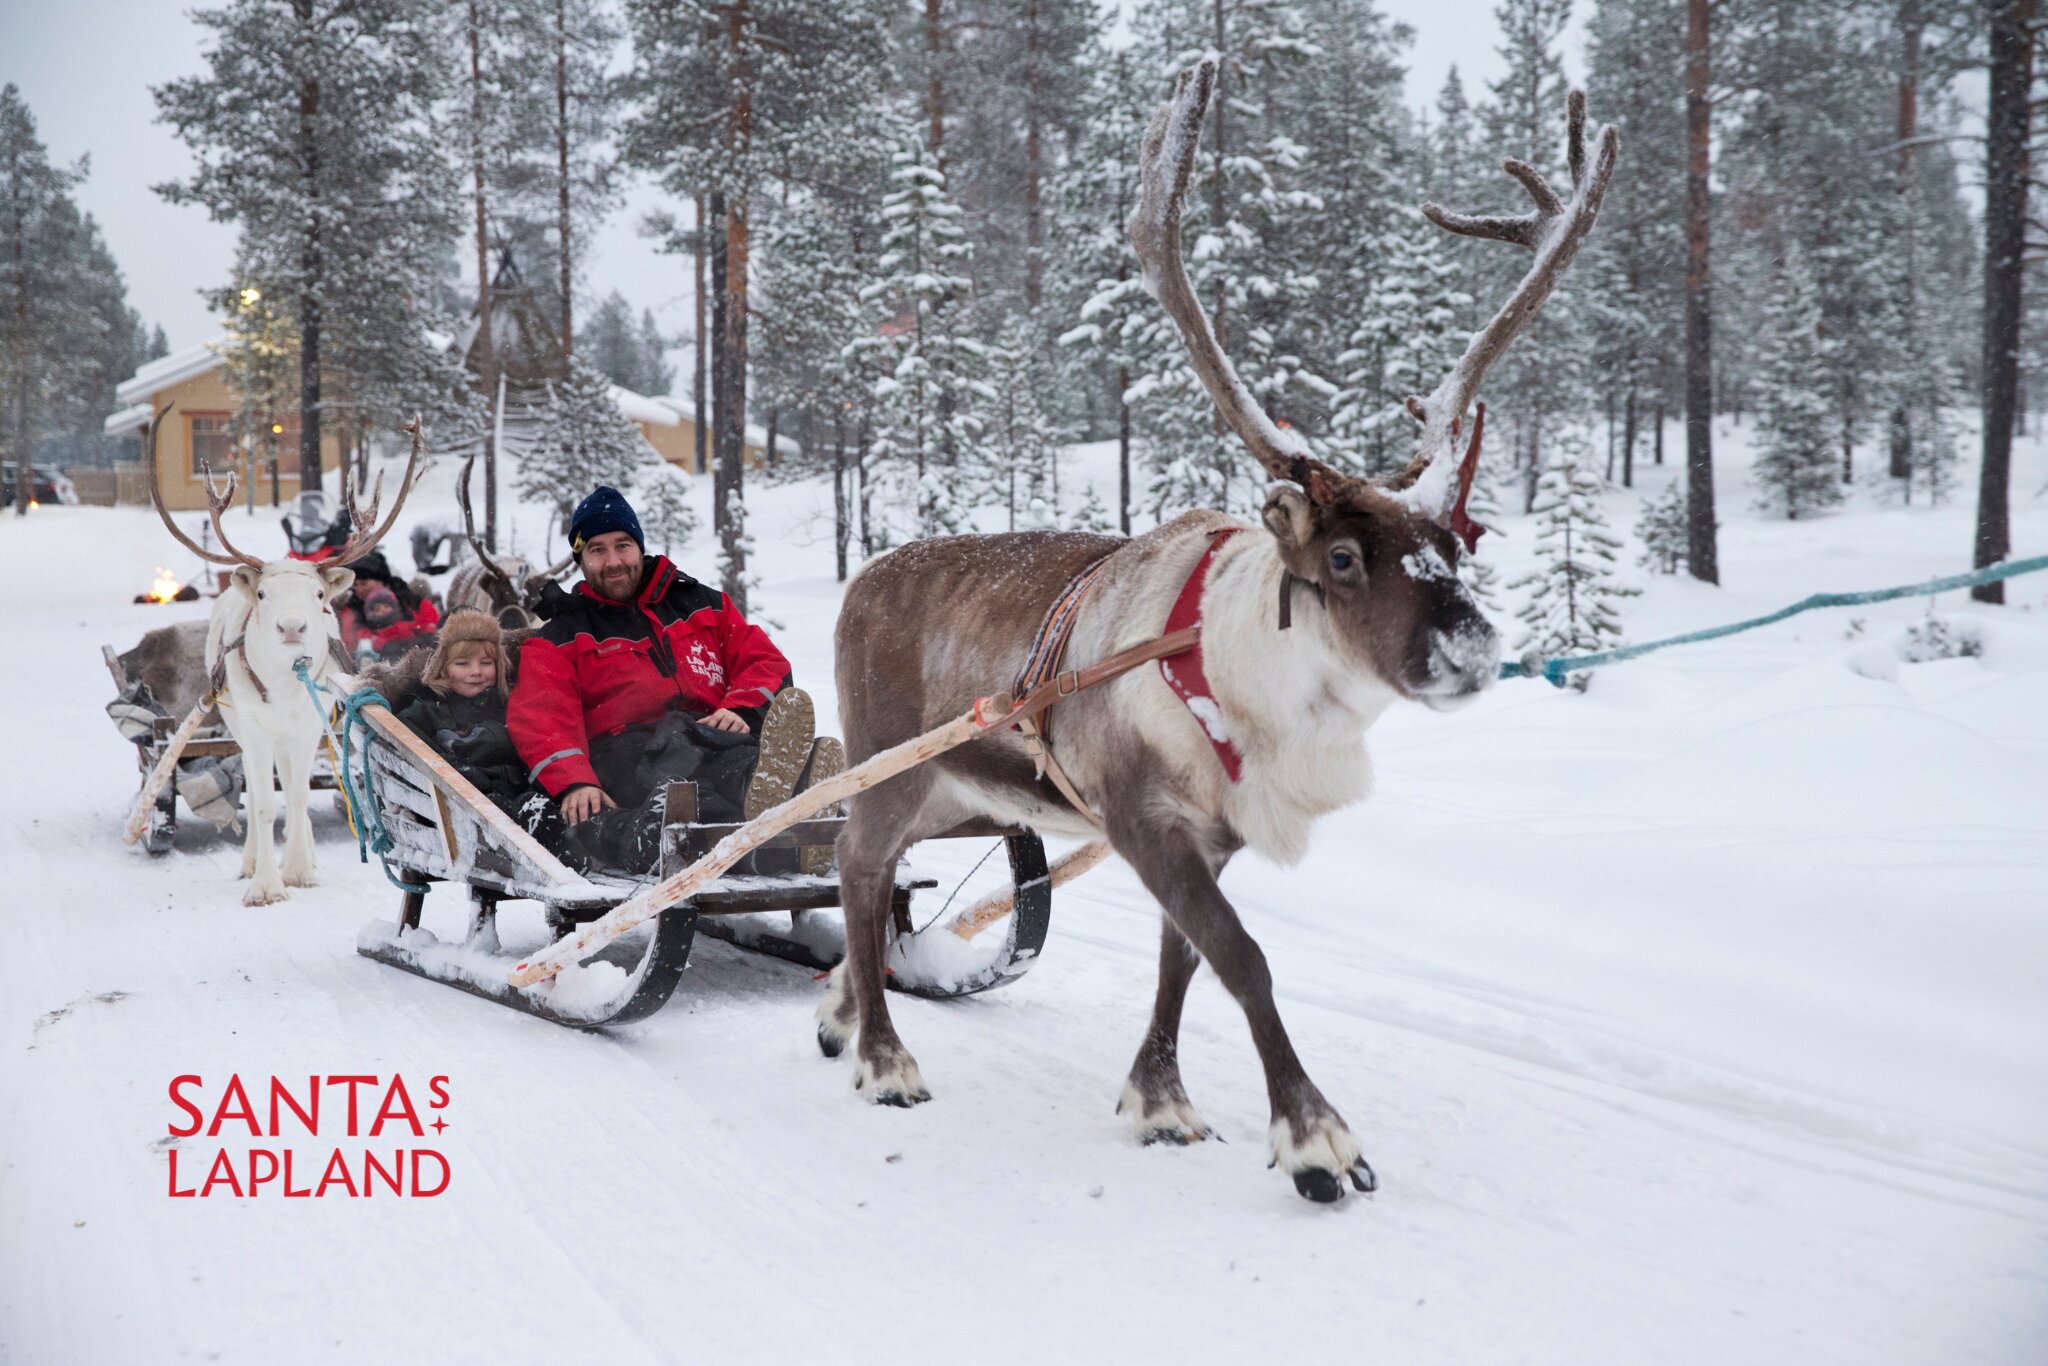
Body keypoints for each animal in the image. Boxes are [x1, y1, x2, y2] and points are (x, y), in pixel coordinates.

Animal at [147, 408, 423, 905]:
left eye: (319, 595)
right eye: (263, 593)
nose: (292, 626)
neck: (282, 684)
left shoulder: (309, 724)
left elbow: (296, 795)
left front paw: (298, 870)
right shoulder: (254, 728)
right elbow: (261, 803)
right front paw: (266, 885)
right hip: (239, 728)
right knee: (256, 789)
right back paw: (251, 862)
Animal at [818, 64, 1617, 1202]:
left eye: (1450, 547)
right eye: (1342, 558)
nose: (1472, 649)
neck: (1255, 690)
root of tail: (862, 579)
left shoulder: (1216, 831)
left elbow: (1180, 959)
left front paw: (1158, 1099)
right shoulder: (1140, 813)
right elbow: (1241, 958)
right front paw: (1315, 1137)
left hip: (959, 788)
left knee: (874, 874)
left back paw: (840, 1011)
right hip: (890, 761)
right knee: (855, 860)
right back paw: (886, 1058)